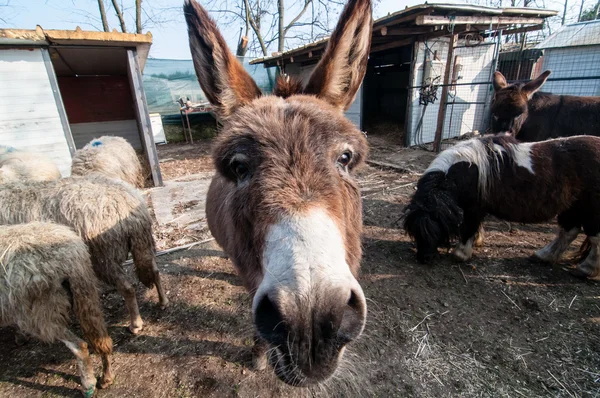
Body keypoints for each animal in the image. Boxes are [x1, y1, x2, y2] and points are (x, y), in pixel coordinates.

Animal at [0, 176, 169, 334]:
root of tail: (127, 204)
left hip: (102, 257)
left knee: (127, 287)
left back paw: (135, 324)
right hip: (143, 243)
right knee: (154, 271)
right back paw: (163, 301)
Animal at [0, 222, 113, 396]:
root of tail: (69, 258)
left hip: (42, 312)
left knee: (79, 345)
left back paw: (88, 385)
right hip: (86, 294)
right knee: (100, 338)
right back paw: (106, 377)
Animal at [400, 135, 600, 278]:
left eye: (436, 229)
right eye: (414, 232)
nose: (424, 259)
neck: (467, 170)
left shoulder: (474, 209)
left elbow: (468, 228)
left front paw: (461, 253)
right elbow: (474, 227)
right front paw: (477, 241)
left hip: (590, 210)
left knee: (593, 237)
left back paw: (586, 270)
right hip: (573, 207)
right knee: (569, 231)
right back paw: (544, 256)